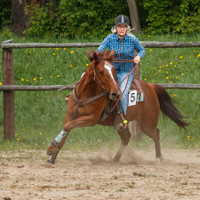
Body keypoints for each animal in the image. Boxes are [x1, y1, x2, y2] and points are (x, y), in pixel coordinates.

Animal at [46, 49, 190, 164]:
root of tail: (151, 87)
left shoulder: (91, 119)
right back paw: (115, 159)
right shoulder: (70, 115)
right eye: (100, 71)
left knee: (156, 133)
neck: (84, 95)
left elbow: (68, 127)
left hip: (147, 123)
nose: (116, 93)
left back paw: (159, 158)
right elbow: (66, 130)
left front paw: (52, 146)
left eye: (114, 70)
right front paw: (51, 155)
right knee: (126, 138)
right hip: (121, 123)